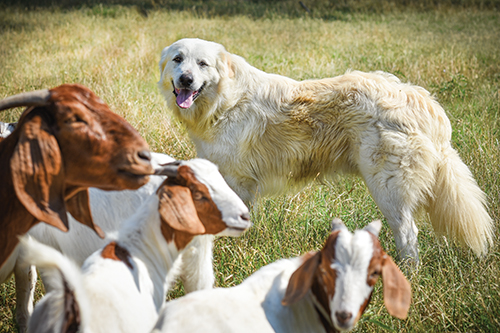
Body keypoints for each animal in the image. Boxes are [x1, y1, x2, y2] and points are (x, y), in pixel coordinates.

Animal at [159, 37, 492, 262]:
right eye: (178, 59)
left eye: (202, 64)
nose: (186, 79)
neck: (223, 102)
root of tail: (422, 99)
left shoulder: (238, 180)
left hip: (387, 188)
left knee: (408, 233)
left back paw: (405, 273)